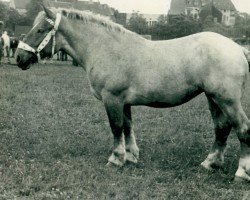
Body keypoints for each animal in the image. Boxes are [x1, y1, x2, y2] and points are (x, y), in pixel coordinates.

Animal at [16, 6, 250, 181]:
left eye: (40, 30)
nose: (19, 57)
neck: (106, 48)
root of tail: (238, 48)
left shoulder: (112, 99)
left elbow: (116, 127)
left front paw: (116, 159)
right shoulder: (124, 102)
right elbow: (127, 127)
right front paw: (131, 157)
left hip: (227, 100)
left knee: (242, 129)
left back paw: (241, 172)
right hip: (213, 99)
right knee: (222, 128)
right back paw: (210, 163)